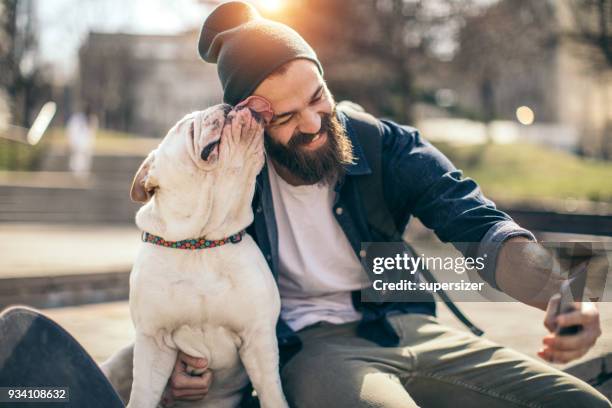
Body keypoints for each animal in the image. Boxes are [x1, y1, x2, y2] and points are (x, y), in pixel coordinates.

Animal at [127, 105, 290, 408]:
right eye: (187, 124)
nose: (226, 106)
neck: (200, 243)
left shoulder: (259, 338)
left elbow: (273, 395)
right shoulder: (153, 340)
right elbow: (141, 395)